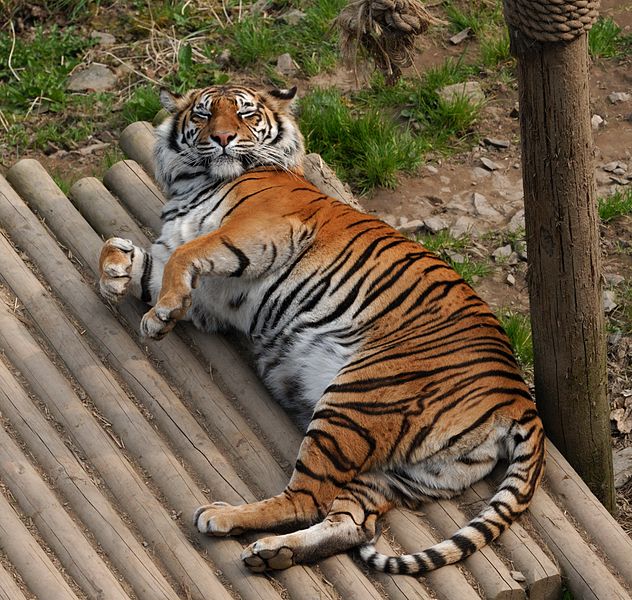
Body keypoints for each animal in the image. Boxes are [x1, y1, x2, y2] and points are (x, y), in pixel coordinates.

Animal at [97, 82, 544, 576]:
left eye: (245, 114)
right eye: (203, 114)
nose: (223, 139)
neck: (194, 182)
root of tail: (519, 397)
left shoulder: (256, 230)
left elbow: (183, 254)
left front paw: (158, 318)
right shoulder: (211, 291)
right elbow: (118, 249)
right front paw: (117, 276)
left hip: (357, 400)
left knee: (307, 497)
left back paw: (223, 518)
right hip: (405, 472)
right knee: (354, 522)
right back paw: (275, 551)